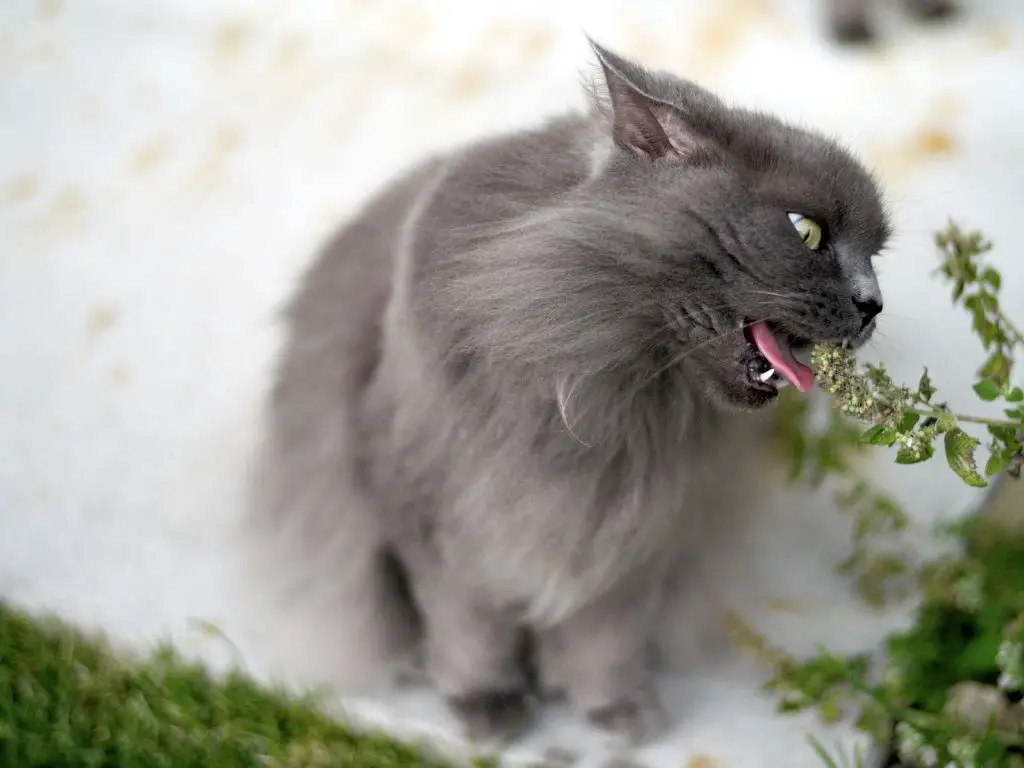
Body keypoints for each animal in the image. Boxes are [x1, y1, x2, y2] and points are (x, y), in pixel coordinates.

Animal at [247, 39, 888, 749]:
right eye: (806, 231)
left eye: (876, 254)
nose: (873, 304)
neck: (601, 397)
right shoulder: (444, 530)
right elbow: (471, 633)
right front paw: (489, 709)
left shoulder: (635, 545)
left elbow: (603, 644)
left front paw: (621, 715)